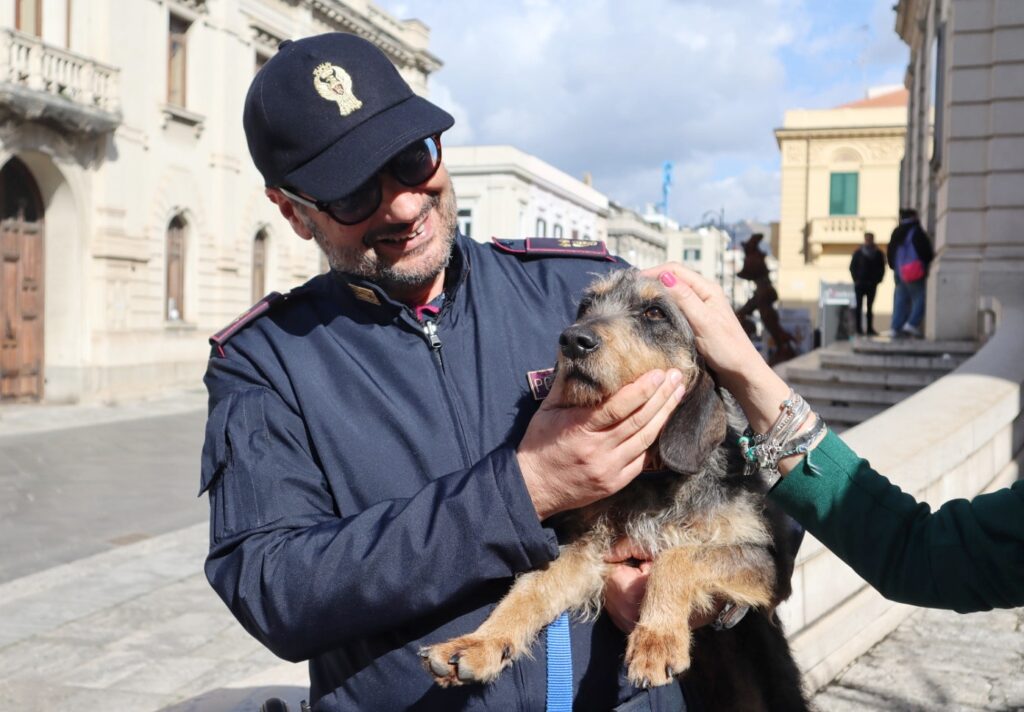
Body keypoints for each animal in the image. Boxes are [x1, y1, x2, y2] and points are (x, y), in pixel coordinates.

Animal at [421, 270, 806, 708]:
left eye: (655, 312)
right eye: (587, 306)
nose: (573, 340)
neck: (652, 481)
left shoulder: (768, 564)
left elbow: (680, 558)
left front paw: (656, 639)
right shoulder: (588, 551)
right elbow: (532, 586)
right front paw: (480, 642)